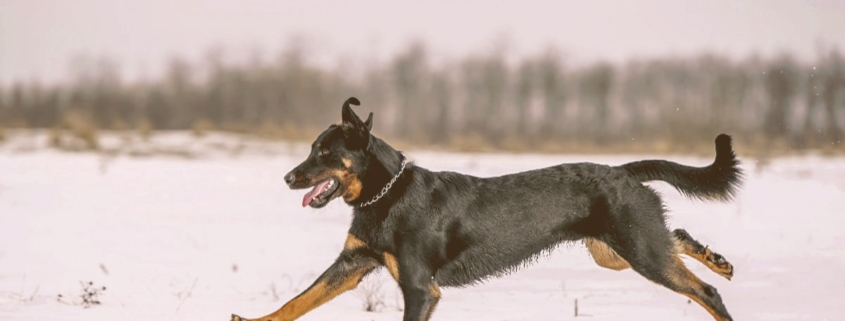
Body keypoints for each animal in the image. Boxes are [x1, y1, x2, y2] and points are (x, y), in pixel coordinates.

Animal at [231, 97, 740, 320]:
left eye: (324, 153)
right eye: (310, 150)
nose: (288, 178)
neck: (386, 196)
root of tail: (624, 171)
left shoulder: (420, 288)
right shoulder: (353, 263)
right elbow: (298, 301)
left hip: (638, 251)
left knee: (707, 293)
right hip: (615, 251)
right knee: (678, 240)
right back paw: (719, 260)